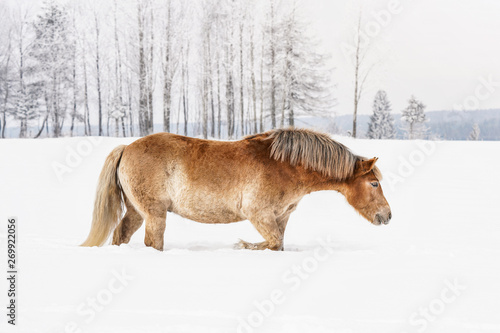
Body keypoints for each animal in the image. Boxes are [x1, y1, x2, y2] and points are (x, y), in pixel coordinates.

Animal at [81, 127, 390, 249]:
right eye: (374, 183)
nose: (387, 216)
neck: (284, 165)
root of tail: (126, 147)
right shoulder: (259, 214)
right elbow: (272, 243)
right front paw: (242, 245)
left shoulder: (281, 217)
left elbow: (278, 245)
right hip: (155, 214)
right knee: (152, 243)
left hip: (137, 211)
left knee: (121, 235)